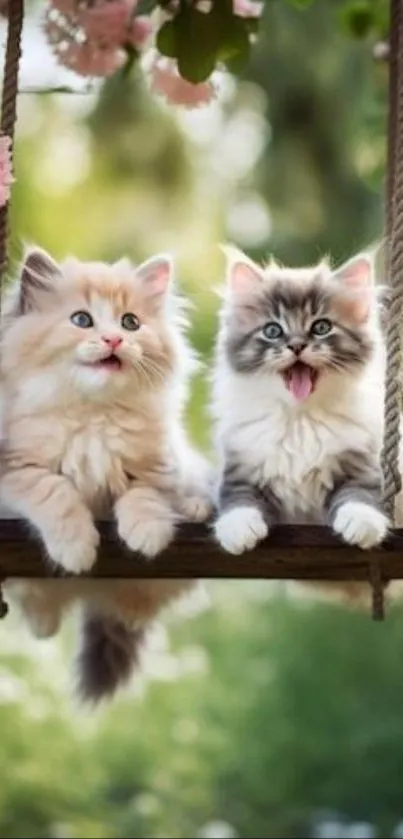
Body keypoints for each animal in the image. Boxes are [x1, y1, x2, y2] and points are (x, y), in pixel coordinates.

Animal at [0, 248, 211, 704]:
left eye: (130, 322)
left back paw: (194, 509)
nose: (114, 340)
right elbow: (55, 490)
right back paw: (46, 614)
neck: (93, 416)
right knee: (42, 619)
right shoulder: (14, 469)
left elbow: (143, 494)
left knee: (134, 608)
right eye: (82, 320)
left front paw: (147, 533)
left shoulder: (159, 464)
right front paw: (76, 549)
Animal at [213, 244, 392, 556]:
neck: (299, 419)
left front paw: (362, 523)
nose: (296, 345)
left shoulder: (360, 461)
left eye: (321, 327)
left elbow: (360, 492)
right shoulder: (242, 466)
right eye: (273, 331)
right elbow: (238, 497)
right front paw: (238, 529)